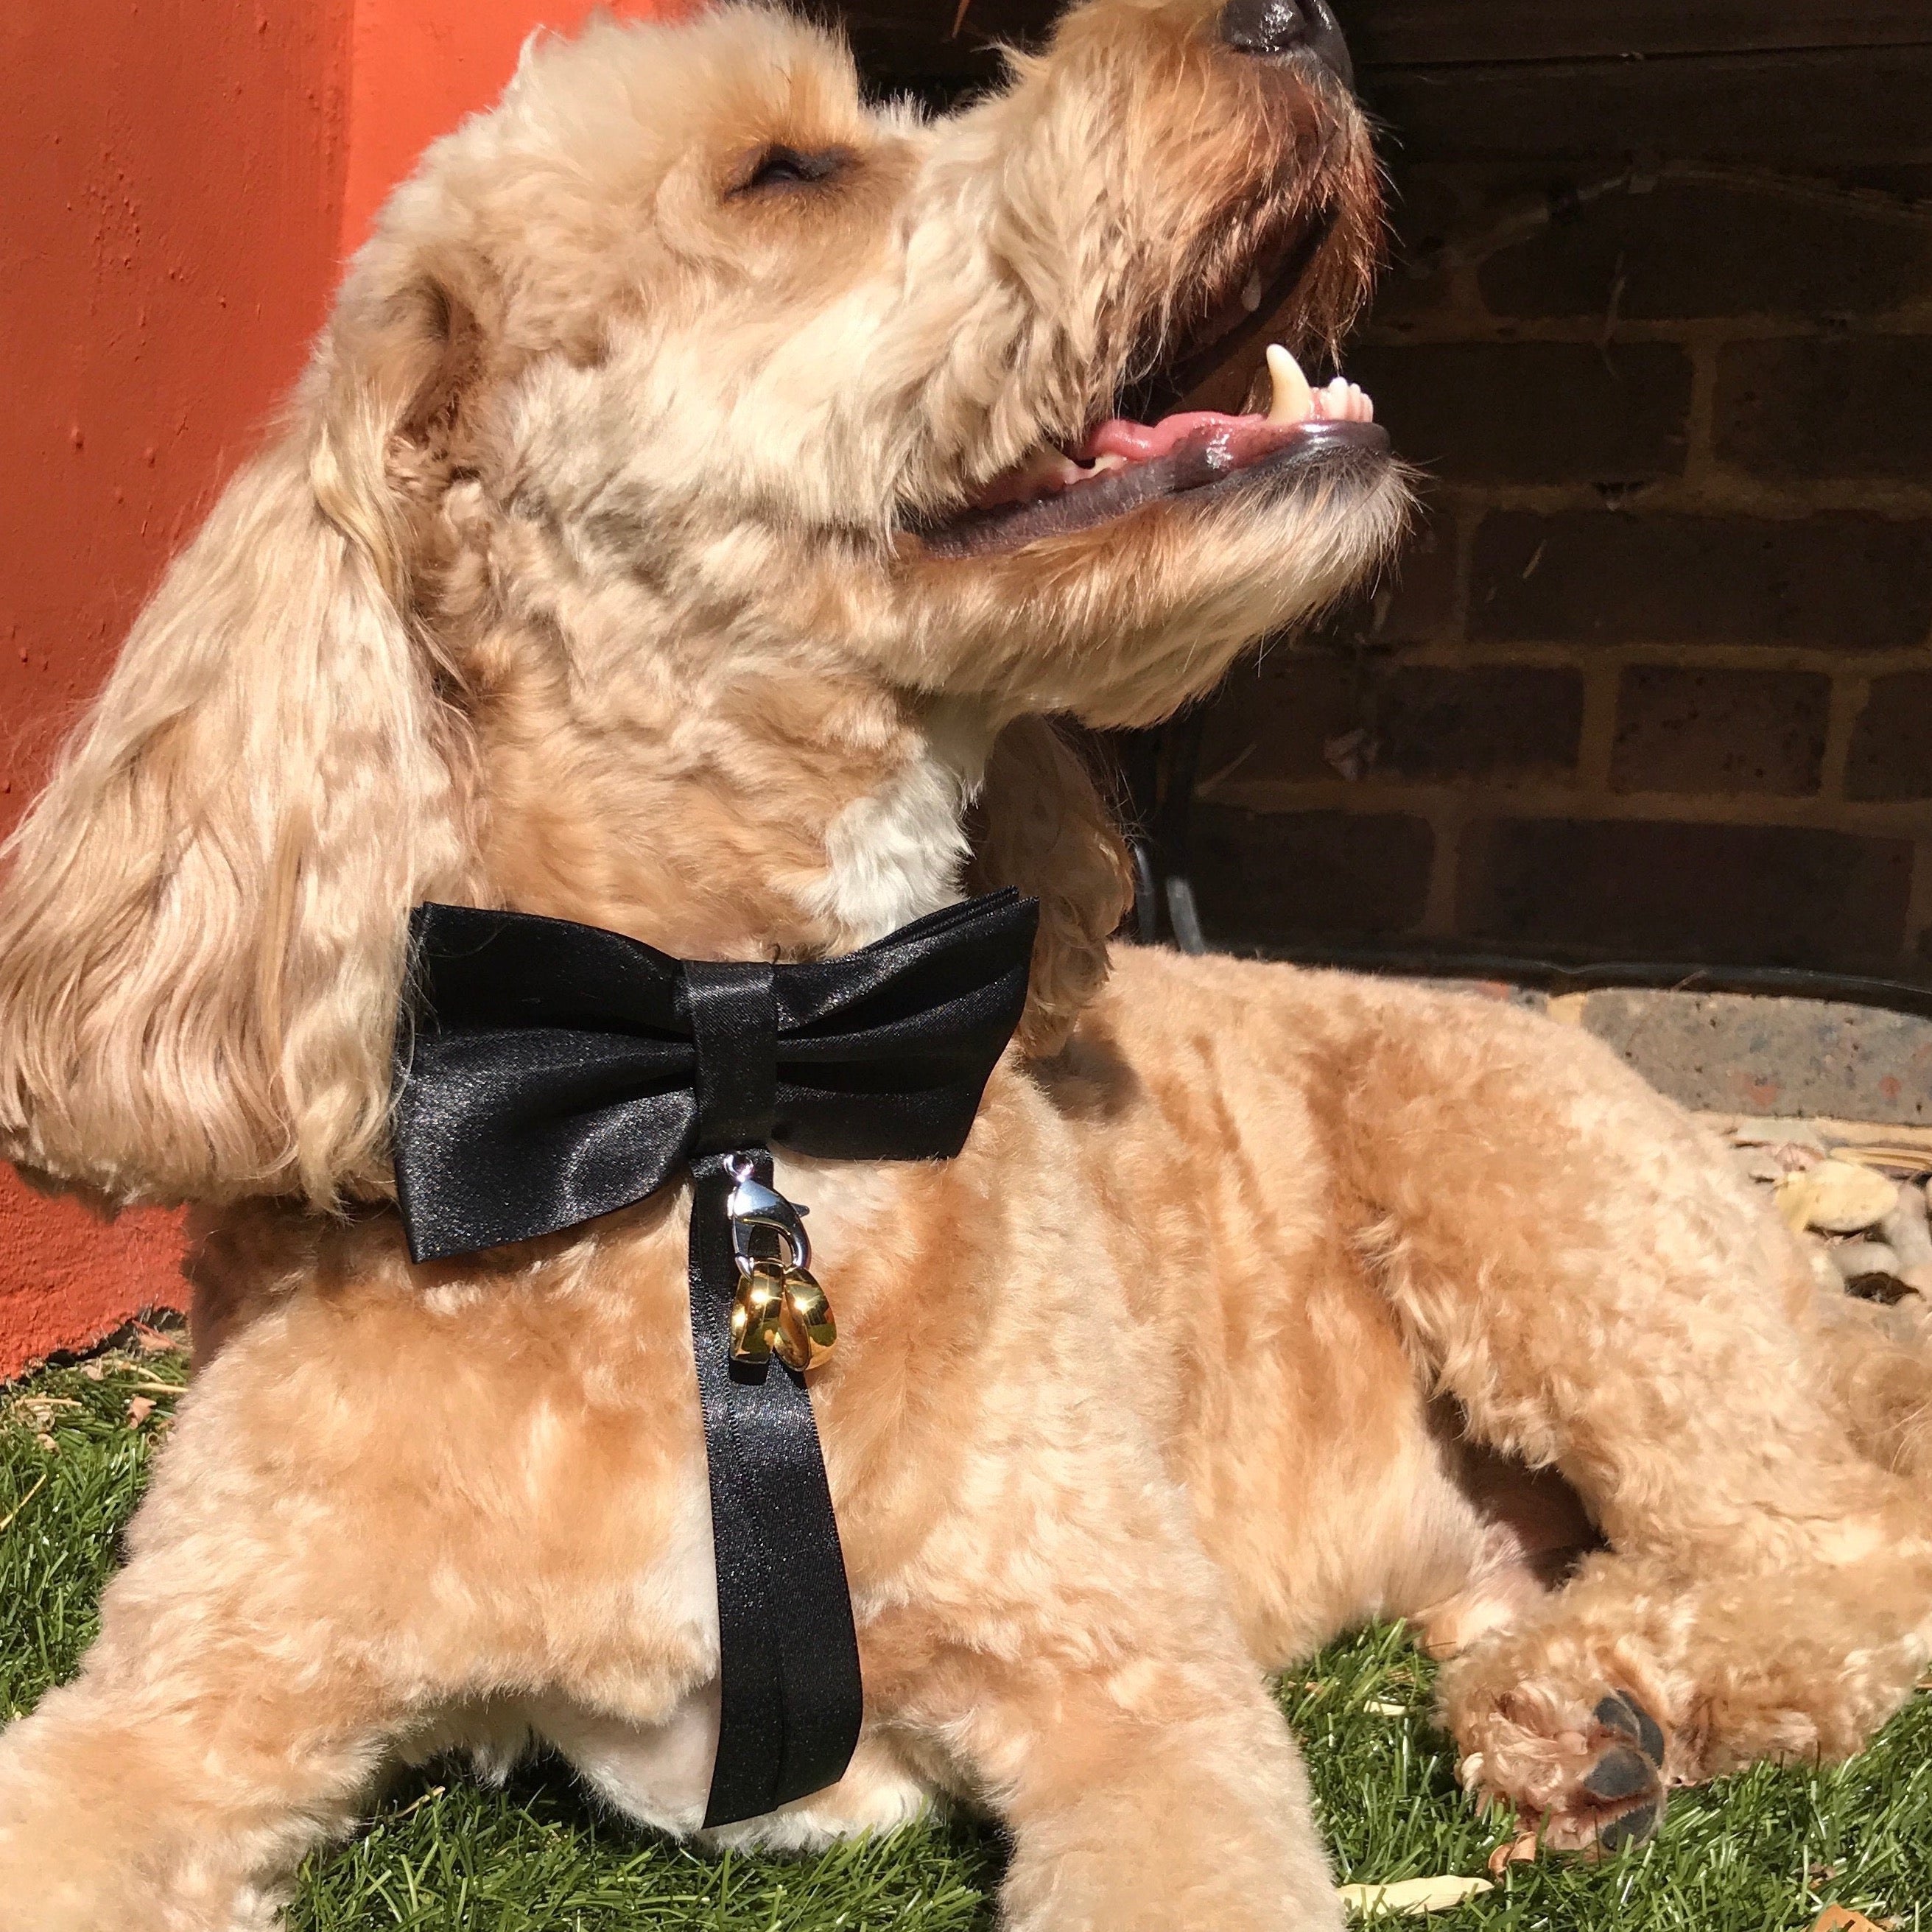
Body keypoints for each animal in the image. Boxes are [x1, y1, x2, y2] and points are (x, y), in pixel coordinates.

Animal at [4, 4, 1932, 1932]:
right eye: (786, 172)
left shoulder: (1138, 1684)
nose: (1290, 18)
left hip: (1546, 1216)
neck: (720, 1086)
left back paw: (1608, 1702)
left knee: (1841, 1541)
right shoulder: (174, 1701)